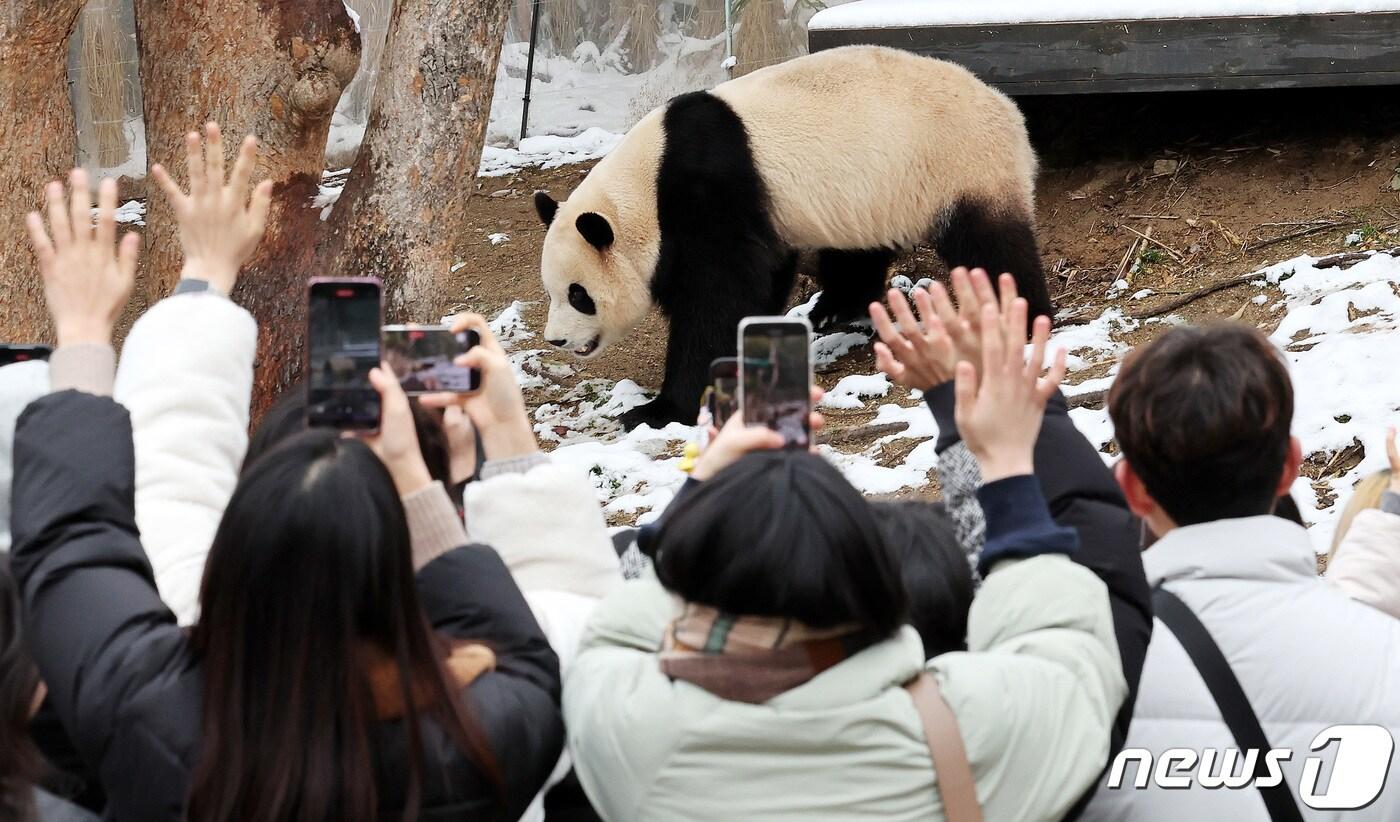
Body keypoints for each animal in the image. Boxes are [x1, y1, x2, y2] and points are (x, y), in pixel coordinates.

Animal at [532, 45, 1052, 431]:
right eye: (552, 292)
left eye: (578, 295)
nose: (556, 340)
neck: (643, 189)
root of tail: (1009, 109)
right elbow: (761, 278)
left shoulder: (706, 195)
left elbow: (718, 297)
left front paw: (659, 410)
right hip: (867, 193)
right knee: (855, 252)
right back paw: (834, 309)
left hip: (959, 164)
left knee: (991, 247)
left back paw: (1018, 316)